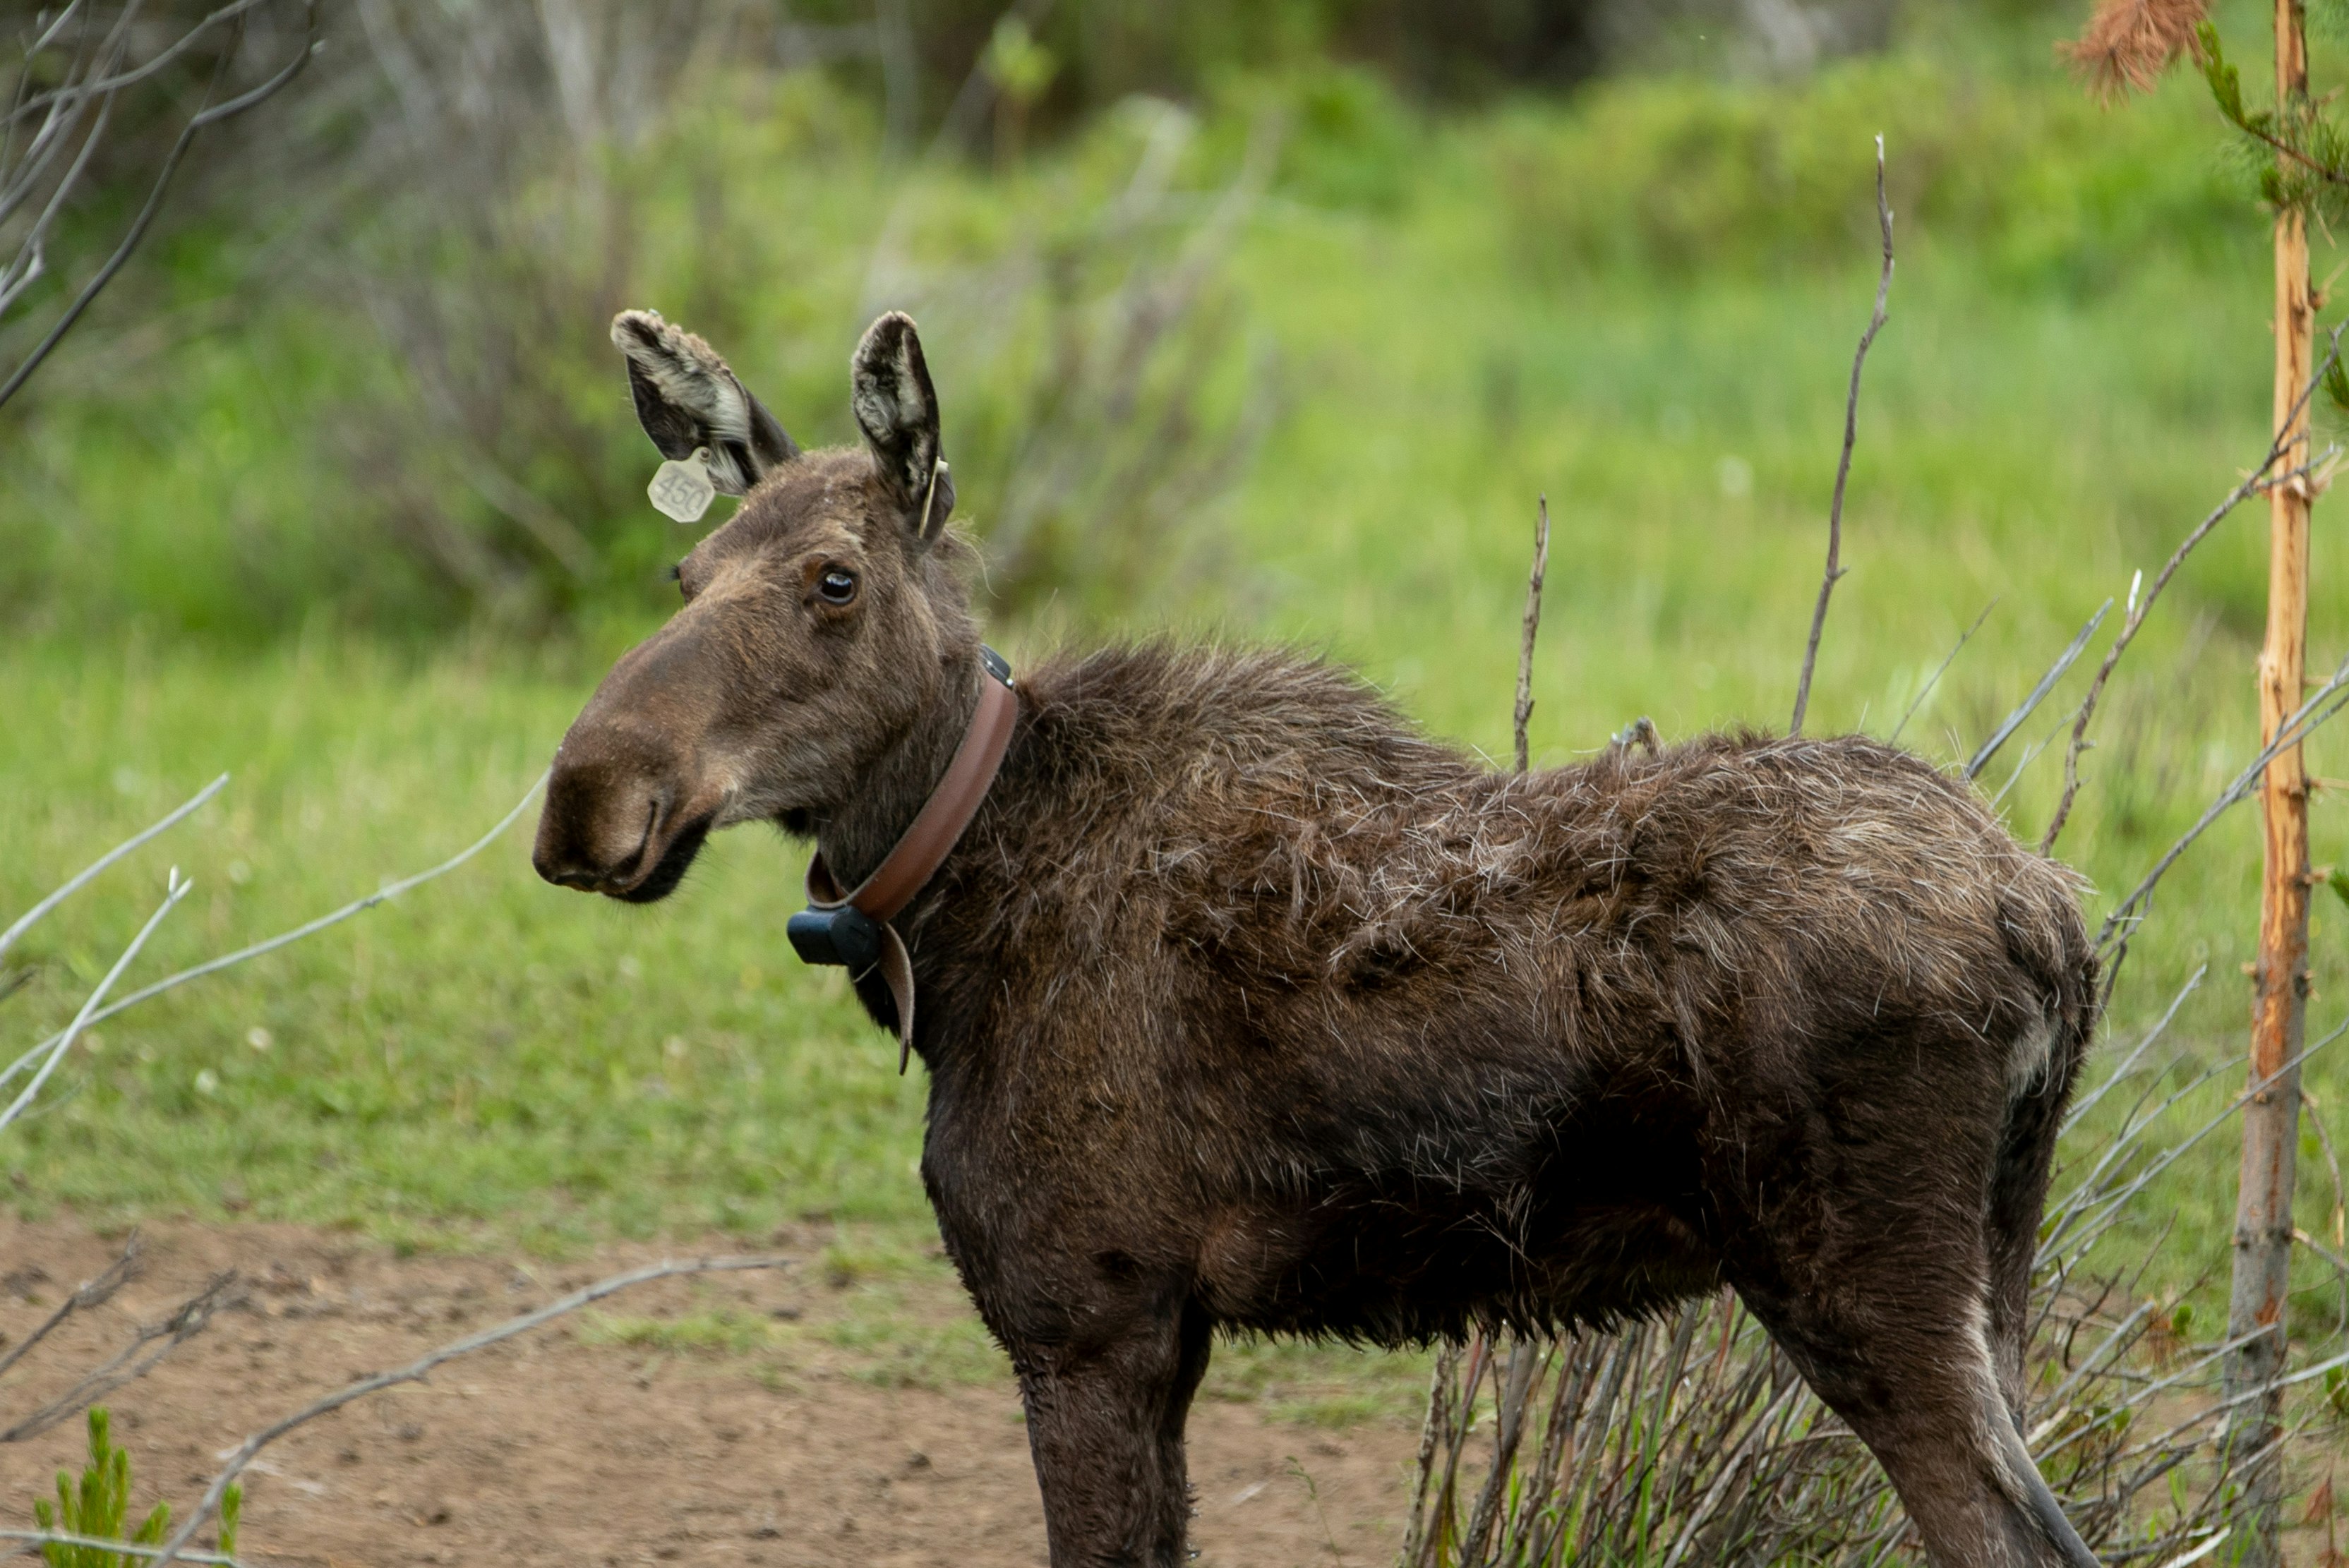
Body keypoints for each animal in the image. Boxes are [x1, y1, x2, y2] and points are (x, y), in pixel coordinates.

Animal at [533, 307, 2104, 1568]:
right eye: (684, 582)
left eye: (834, 579)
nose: (585, 797)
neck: (961, 911)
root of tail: (2050, 921)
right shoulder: (1163, 1332)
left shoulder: (1084, 1314)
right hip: (1992, 1275)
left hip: (1856, 1283)